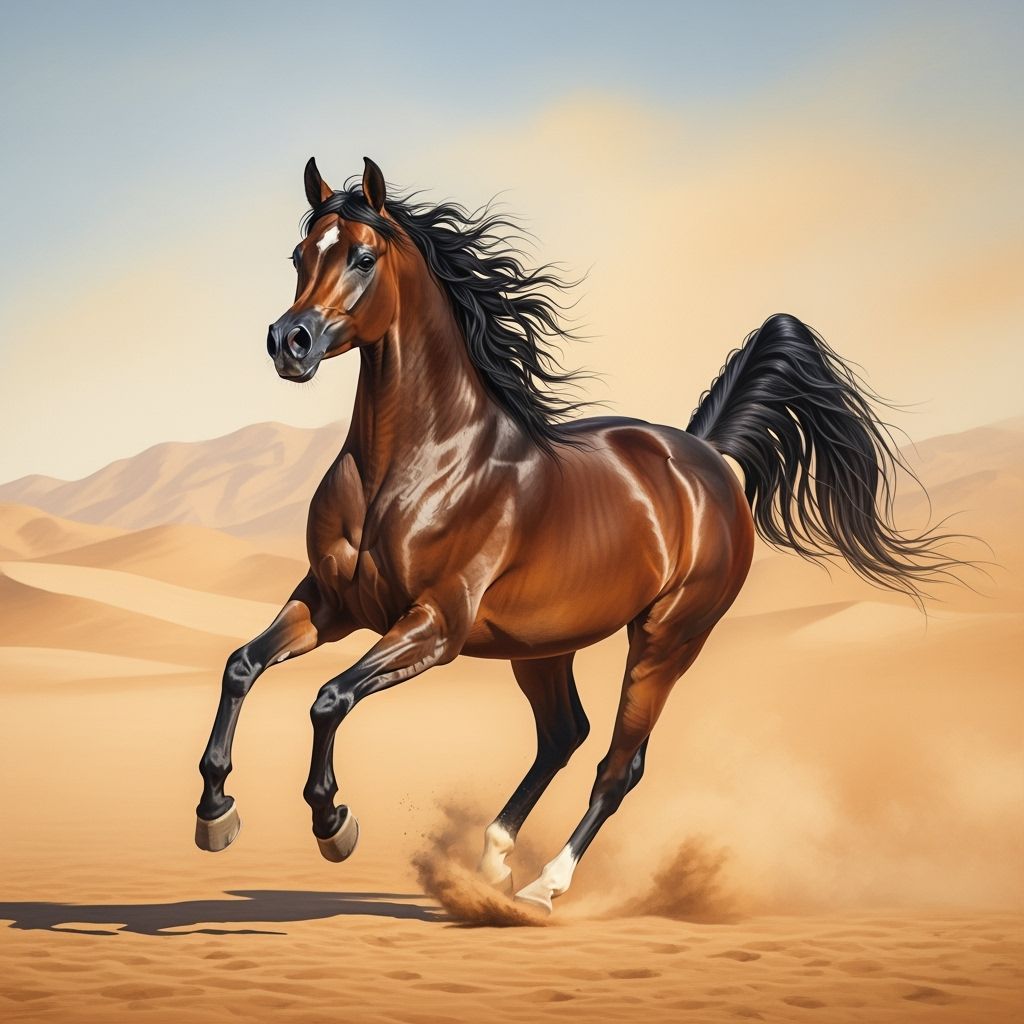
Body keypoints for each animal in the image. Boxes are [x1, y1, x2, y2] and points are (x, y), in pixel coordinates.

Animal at [195, 156, 959, 913]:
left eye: (362, 256)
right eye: (299, 255)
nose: (289, 342)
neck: (417, 463)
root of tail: (708, 457)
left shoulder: (435, 626)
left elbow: (329, 699)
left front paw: (333, 823)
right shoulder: (331, 603)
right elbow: (241, 665)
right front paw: (215, 812)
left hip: (665, 641)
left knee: (619, 764)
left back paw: (542, 887)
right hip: (540, 645)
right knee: (565, 734)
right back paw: (493, 860)